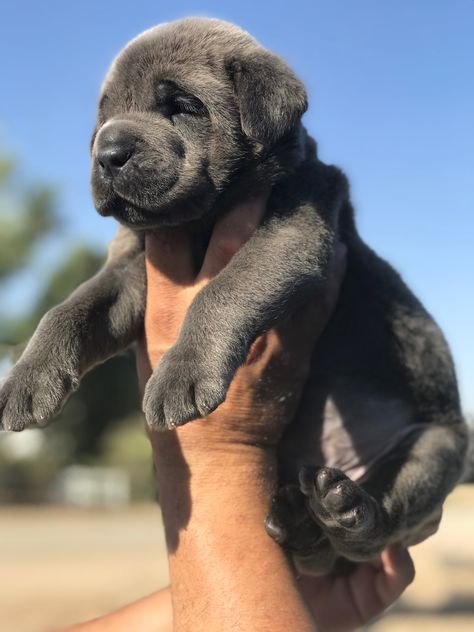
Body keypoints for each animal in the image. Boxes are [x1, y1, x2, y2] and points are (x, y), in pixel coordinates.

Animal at [0, 18, 466, 572]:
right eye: (104, 114)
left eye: (182, 105)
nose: (107, 153)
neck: (199, 221)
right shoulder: (130, 269)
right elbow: (68, 310)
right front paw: (27, 378)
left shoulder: (292, 231)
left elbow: (223, 289)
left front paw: (182, 373)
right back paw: (300, 522)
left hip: (436, 449)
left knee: (380, 523)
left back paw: (347, 509)